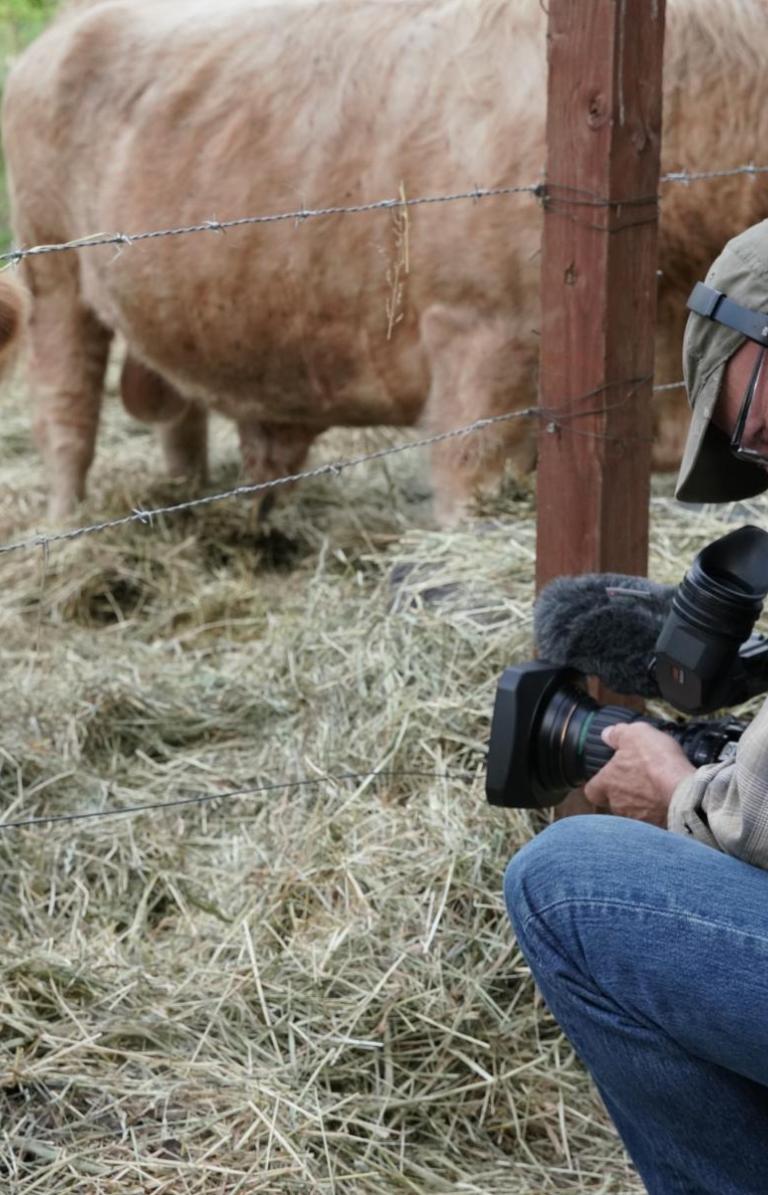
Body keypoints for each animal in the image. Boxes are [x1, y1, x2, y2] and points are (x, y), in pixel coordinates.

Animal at [1, 1, 768, 523]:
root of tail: (64, 29)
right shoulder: (478, 338)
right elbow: (468, 484)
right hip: (52, 280)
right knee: (65, 416)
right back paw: (66, 524)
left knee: (176, 416)